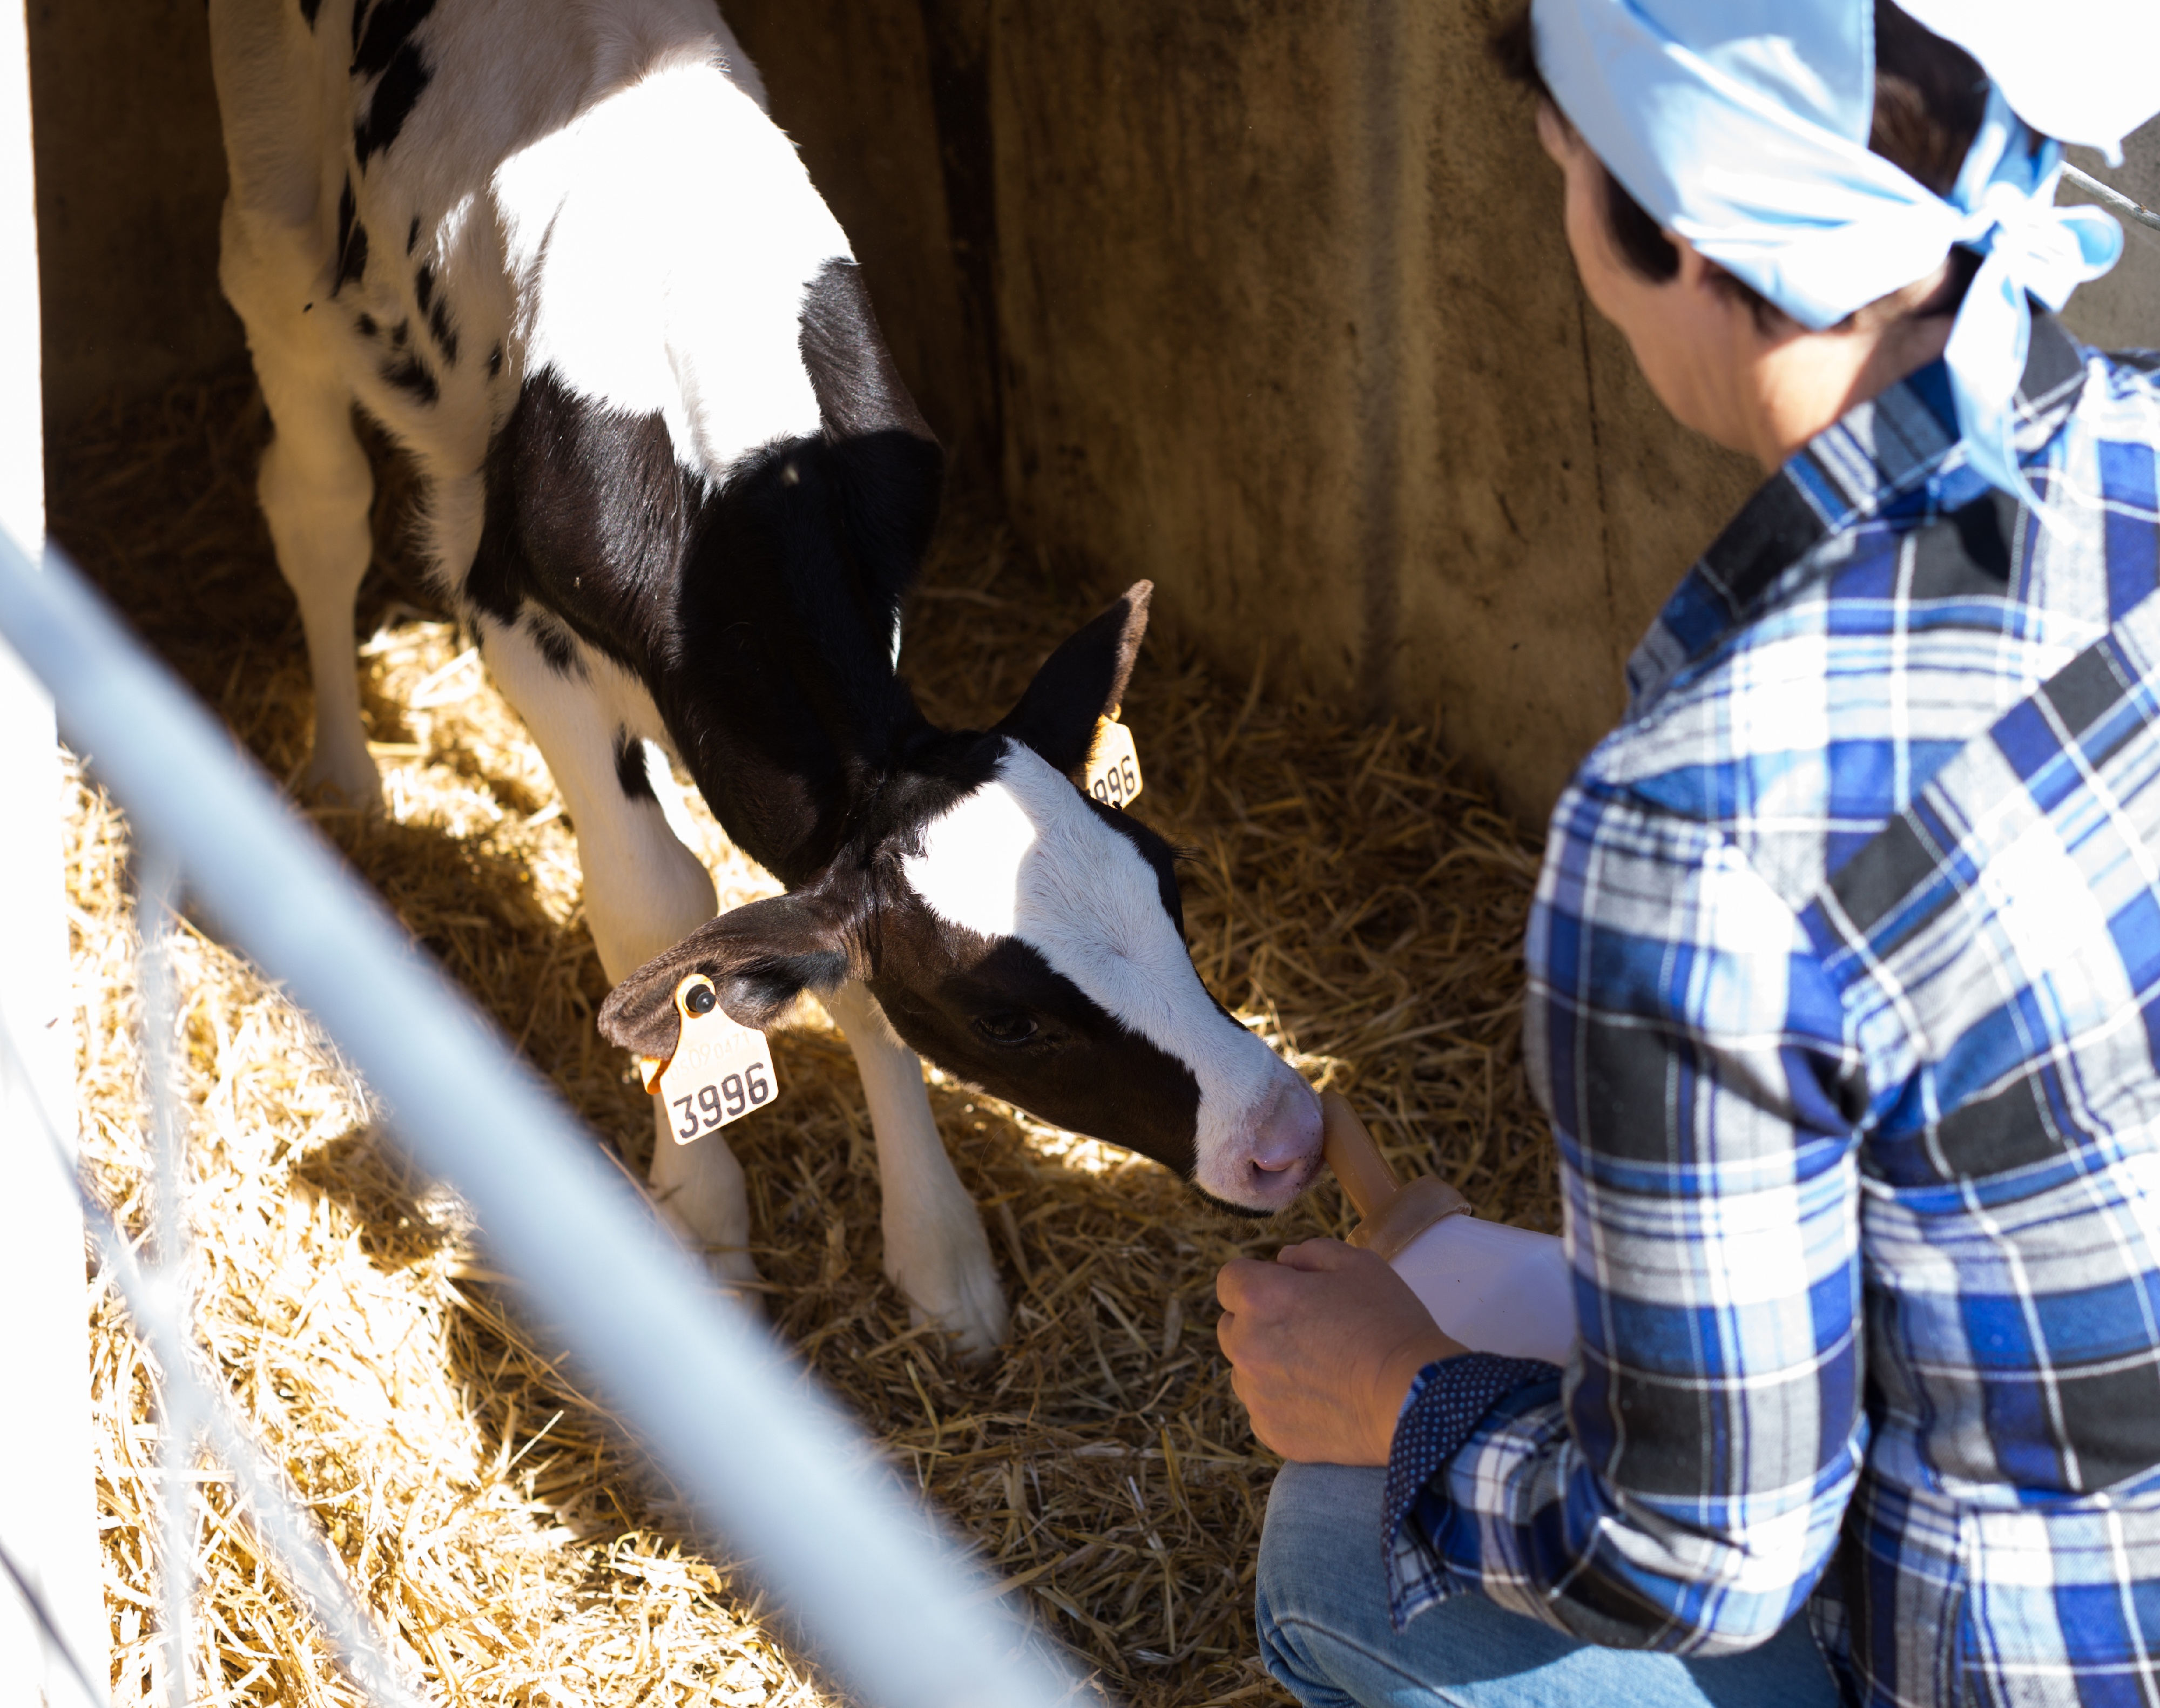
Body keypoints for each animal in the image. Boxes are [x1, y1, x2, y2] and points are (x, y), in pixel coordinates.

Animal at [211, 0, 1322, 1365]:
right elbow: (656, 908)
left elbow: (828, 953)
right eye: (1006, 1019)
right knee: (318, 507)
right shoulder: (516, 618)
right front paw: (702, 1220)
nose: (1284, 1132)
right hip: (277, 227)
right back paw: (344, 777)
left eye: (1173, 884)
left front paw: (936, 1253)